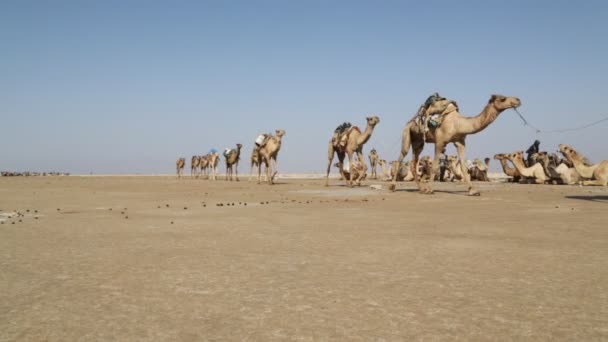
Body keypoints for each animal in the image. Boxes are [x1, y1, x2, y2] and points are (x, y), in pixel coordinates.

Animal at [392, 93, 520, 195]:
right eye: (503, 98)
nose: (518, 100)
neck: (459, 124)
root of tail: (410, 122)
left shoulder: (460, 142)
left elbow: (463, 166)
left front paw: (473, 191)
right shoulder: (440, 142)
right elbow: (434, 166)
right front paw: (430, 190)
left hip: (418, 142)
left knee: (413, 164)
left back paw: (421, 189)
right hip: (406, 134)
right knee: (401, 157)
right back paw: (393, 187)